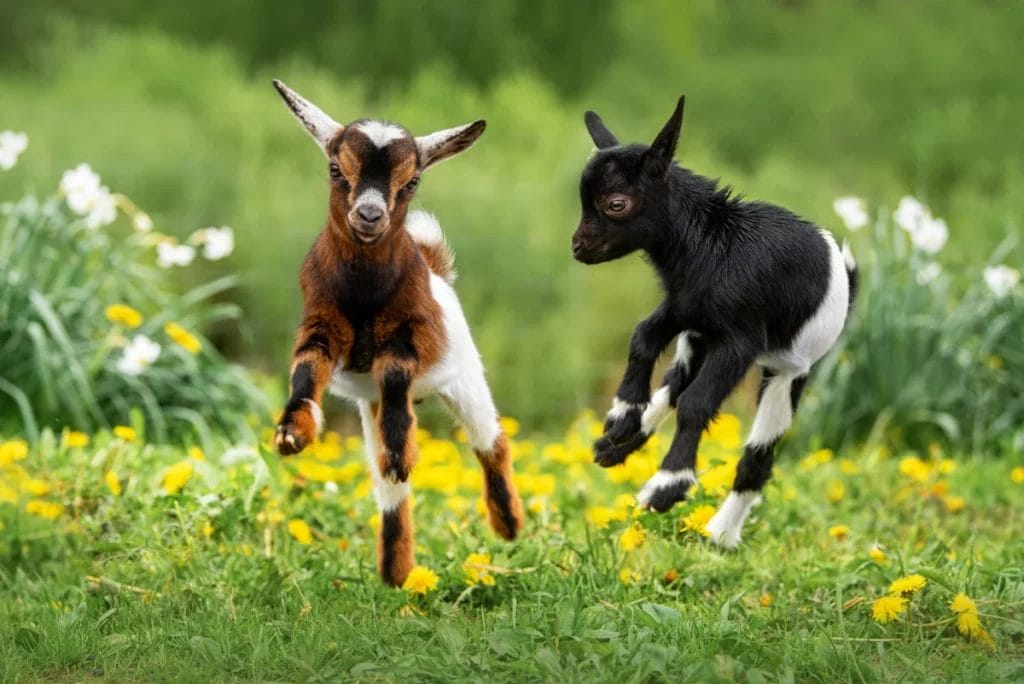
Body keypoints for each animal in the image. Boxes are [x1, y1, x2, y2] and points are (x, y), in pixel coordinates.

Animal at [270, 80, 523, 586]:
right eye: (335, 169)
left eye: (412, 182)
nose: (369, 215)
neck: (366, 292)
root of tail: (436, 268)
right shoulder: (322, 323)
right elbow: (305, 369)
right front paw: (293, 433)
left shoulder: (416, 333)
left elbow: (393, 367)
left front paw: (402, 453)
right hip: (367, 408)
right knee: (389, 491)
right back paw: (397, 572)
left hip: (466, 379)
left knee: (491, 442)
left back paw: (507, 525)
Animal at [572, 96, 857, 549]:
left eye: (616, 203)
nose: (578, 247)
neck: (713, 244)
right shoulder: (683, 309)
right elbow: (642, 338)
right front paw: (621, 415)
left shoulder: (739, 341)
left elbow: (697, 404)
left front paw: (666, 488)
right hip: (697, 342)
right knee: (673, 387)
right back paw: (615, 446)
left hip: (786, 373)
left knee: (756, 458)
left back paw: (721, 534)